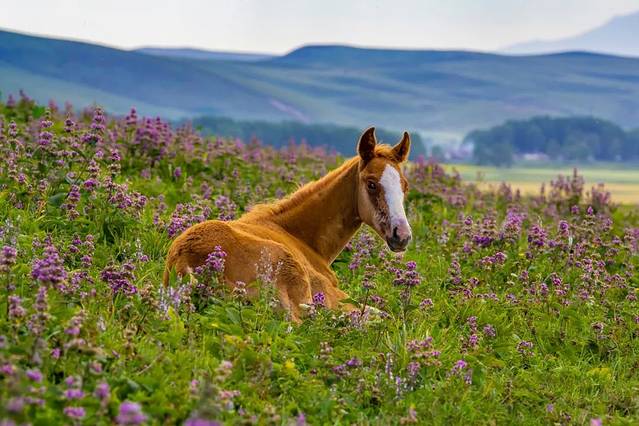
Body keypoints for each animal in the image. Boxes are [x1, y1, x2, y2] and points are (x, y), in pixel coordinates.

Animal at [163, 127, 412, 322]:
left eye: (405, 186)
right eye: (371, 184)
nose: (402, 235)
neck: (300, 237)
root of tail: (185, 260)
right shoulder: (333, 295)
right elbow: (381, 314)